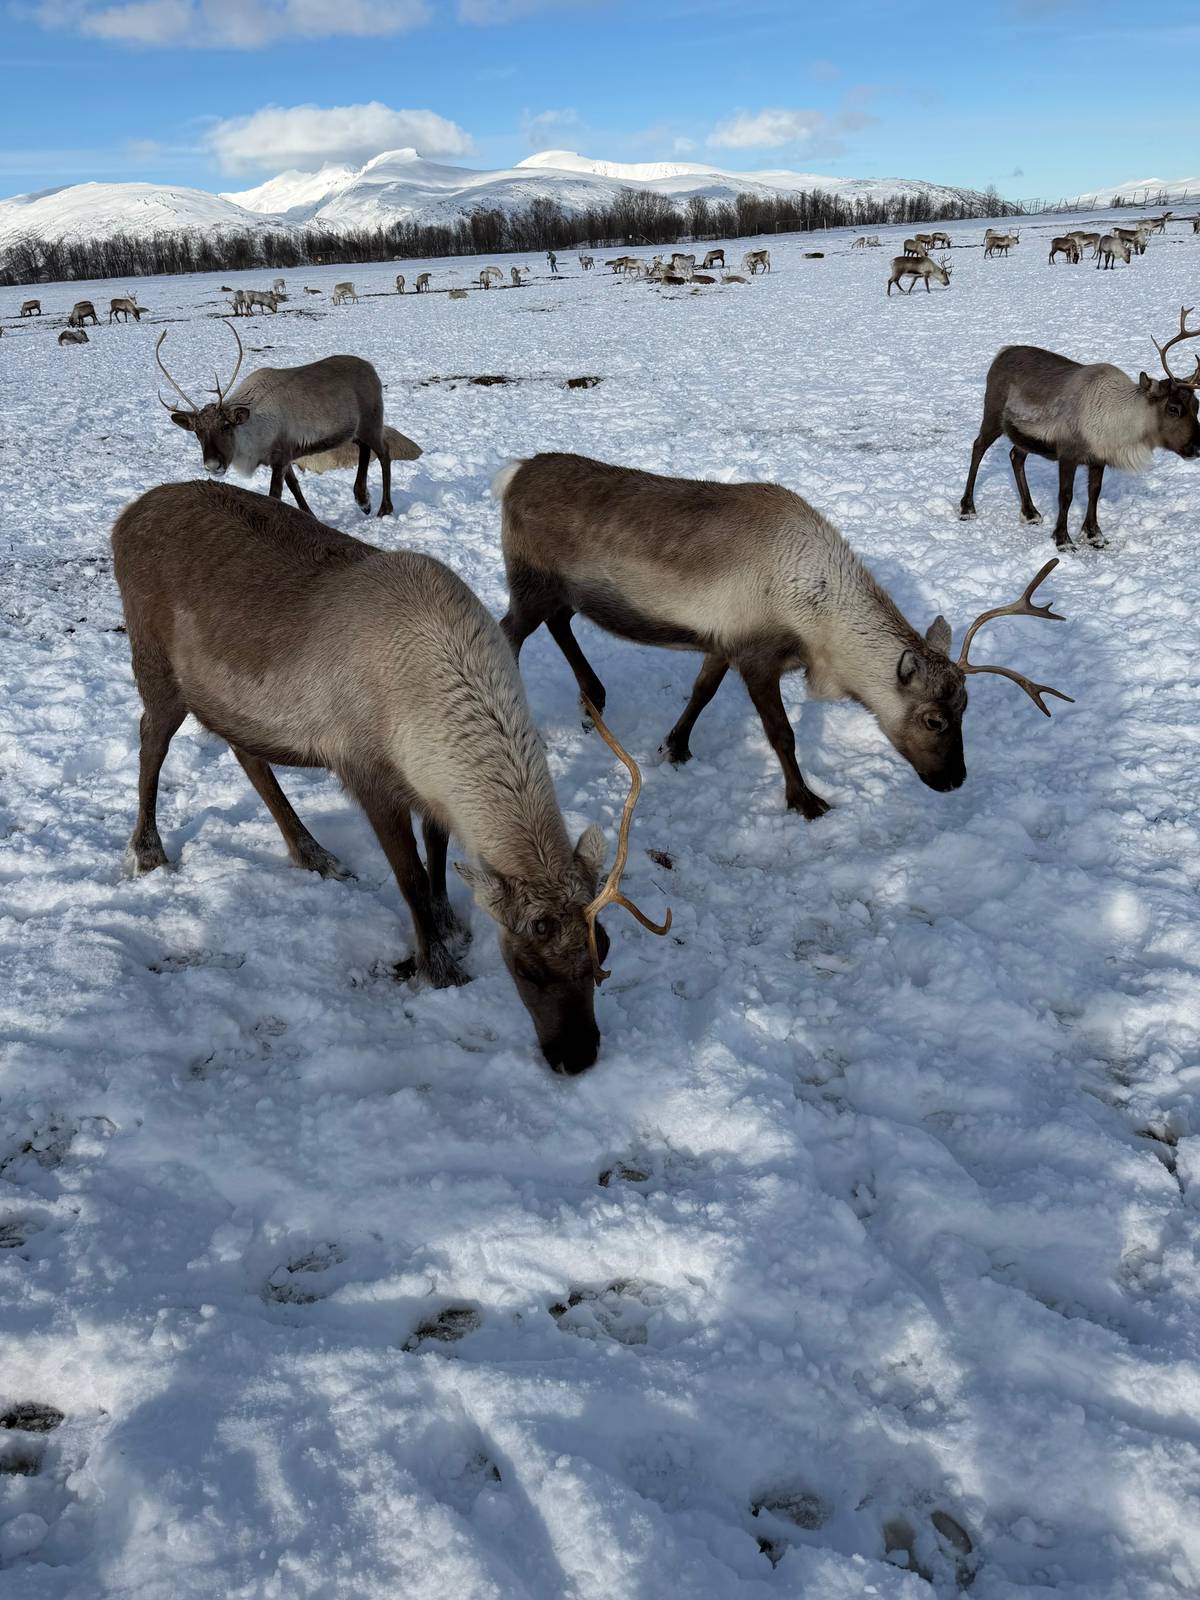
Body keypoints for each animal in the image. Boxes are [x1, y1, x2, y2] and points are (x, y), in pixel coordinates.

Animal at [112, 481, 669, 1074]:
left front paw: (450, 924)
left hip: (229, 701)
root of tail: (124, 519)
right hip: (156, 666)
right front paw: (438, 966)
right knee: (150, 740)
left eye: (602, 947)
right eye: (526, 967)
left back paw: (312, 853)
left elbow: (439, 853)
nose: (577, 1055)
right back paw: (148, 851)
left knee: (247, 755)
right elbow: (411, 878)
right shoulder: (367, 774)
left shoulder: (427, 787)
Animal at [156, 319, 394, 517]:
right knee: (365, 449)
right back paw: (363, 501)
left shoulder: (280, 456)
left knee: (384, 453)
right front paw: (311, 516)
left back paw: (384, 508)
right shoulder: (286, 455)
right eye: (197, 432)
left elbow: (275, 495)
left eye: (226, 426)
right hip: (355, 430)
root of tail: (372, 369)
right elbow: (295, 486)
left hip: (372, 421)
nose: (213, 466)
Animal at [495, 453, 1071, 820]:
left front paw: (676, 746)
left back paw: (594, 696)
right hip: (531, 582)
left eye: (967, 708)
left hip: (556, 590)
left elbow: (701, 693)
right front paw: (805, 801)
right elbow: (782, 735)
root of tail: (512, 474)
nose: (955, 780)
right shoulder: (757, 655)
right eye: (935, 719)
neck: (819, 622)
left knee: (560, 623)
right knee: (509, 635)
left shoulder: (722, 642)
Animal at [959, 307, 1200, 548]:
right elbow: (1065, 496)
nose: (1196, 448)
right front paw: (1063, 539)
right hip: (992, 414)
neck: (1120, 420)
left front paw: (1094, 534)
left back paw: (1030, 513)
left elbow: (1094, 492)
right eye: (1173, 408)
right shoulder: (1068, 454)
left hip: (1021, 435)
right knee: (978, 447)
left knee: (1015, 456)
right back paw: (967, 507)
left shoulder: (1098, 458)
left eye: (1196, 405)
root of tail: (1001, 353)